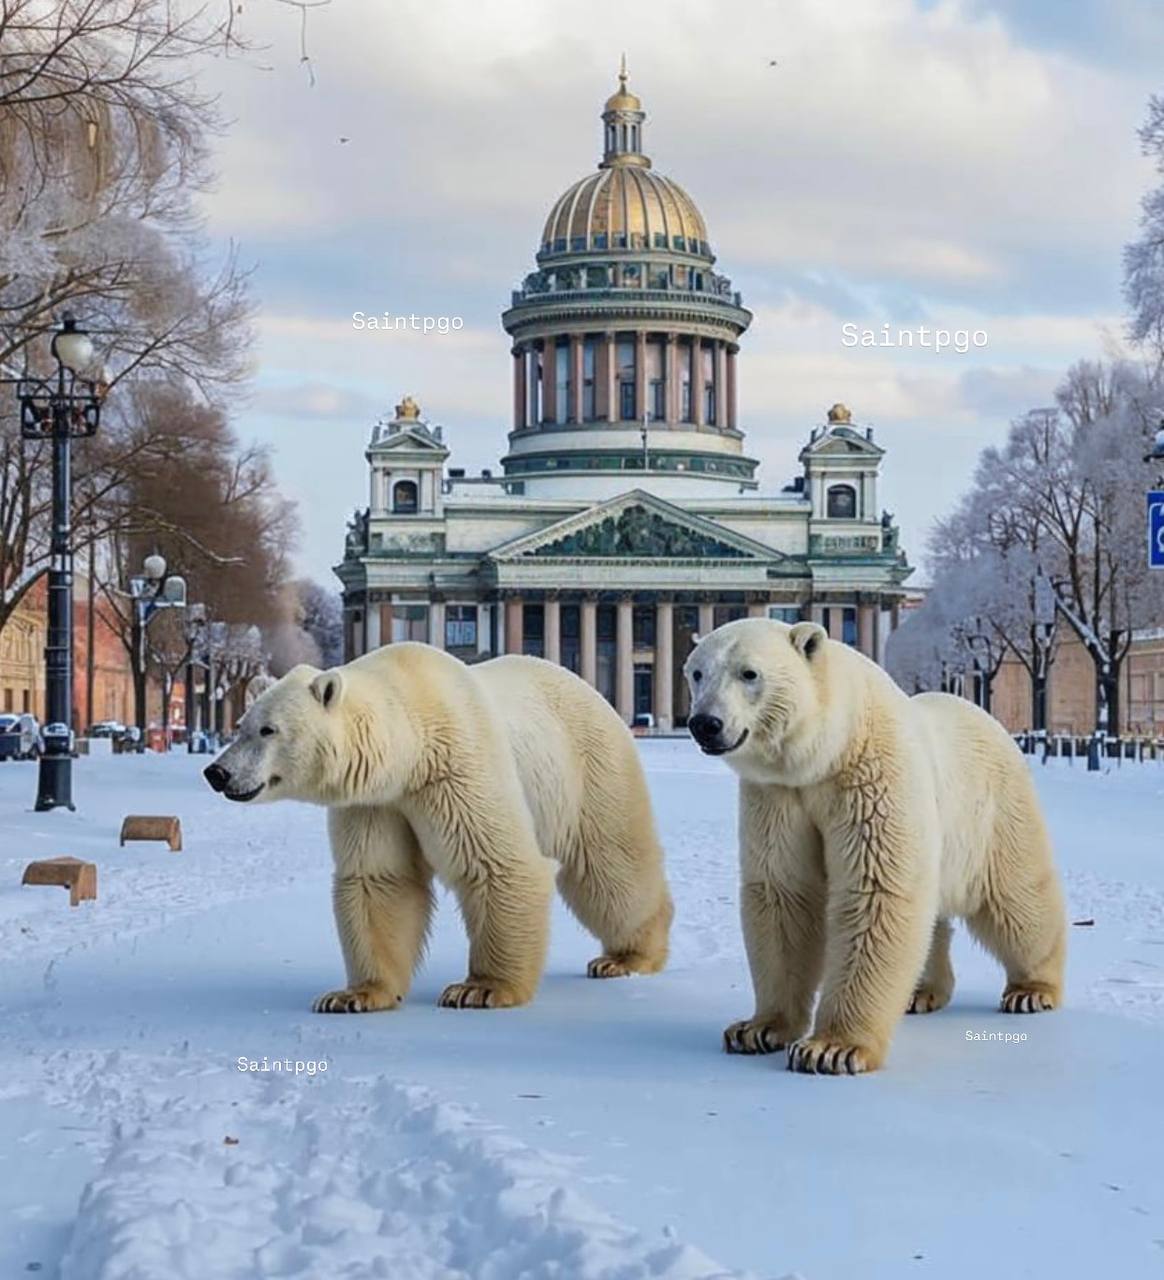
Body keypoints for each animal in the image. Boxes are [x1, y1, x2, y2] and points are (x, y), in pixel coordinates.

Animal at [201, 645, 670, 1013]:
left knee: (611, 865)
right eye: (240, 725)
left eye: (268, 729)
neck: (411, 740)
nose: (216, 772)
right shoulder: (375, 802)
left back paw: (626, 957)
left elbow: (497, 862)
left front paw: (480, 989)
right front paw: (354, 995)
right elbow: (379, 879)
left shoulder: (455, 768)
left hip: (591, 769)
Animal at [686, 614, 1065, 1075]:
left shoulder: (869, 776)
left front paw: (830, 1049)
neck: (828, 750)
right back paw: (922, 991)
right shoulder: (778, 796)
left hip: (993, 812)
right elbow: (784, 892)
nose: (705, 723)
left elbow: (876, 890)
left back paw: (1033, 988)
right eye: (697, 672)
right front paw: (756, 1029)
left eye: (749, 673)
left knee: (1015, 895)